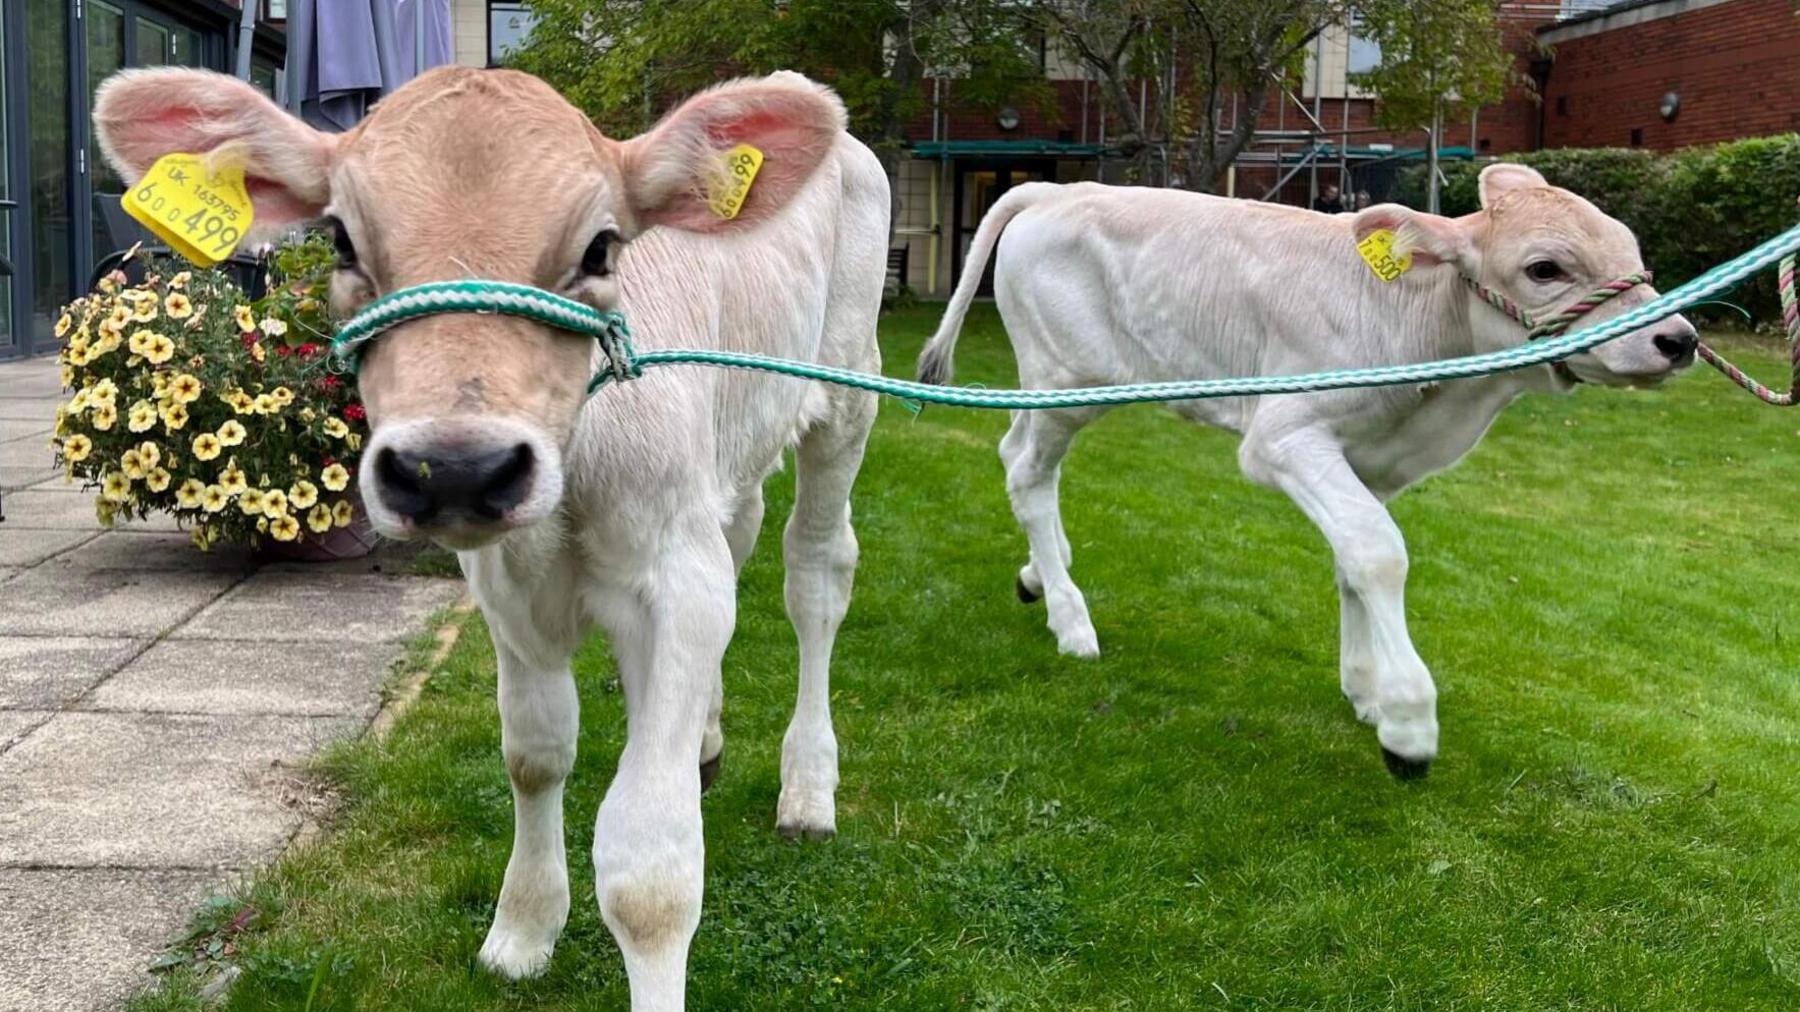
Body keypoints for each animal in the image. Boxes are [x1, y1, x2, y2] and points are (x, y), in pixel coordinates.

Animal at [96, 67, 885, 1001]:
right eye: (339, 240)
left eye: (601, 248)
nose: (455, 469)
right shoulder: (510, 585)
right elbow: (536, 753)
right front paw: (523, 930)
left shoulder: (675, 579)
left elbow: (650, 871)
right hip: (732, 461)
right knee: (744, 537)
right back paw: (705, 738)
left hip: (848, 394)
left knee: (816, 574)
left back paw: (809, 788)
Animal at [921, 169, 1692, 774]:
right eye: (1545, 269)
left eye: (1632, 251)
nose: (1679, 339)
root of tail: (1060, 188)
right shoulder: (1284, 437)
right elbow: (1379, 552)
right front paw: (1408, 719)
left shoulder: (1370, 463)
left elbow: (1353, 557)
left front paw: (1366, 690)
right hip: (1066, 381)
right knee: (1028, 472)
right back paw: (1070, 617)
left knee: (1015, 456)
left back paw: (1039, 575)